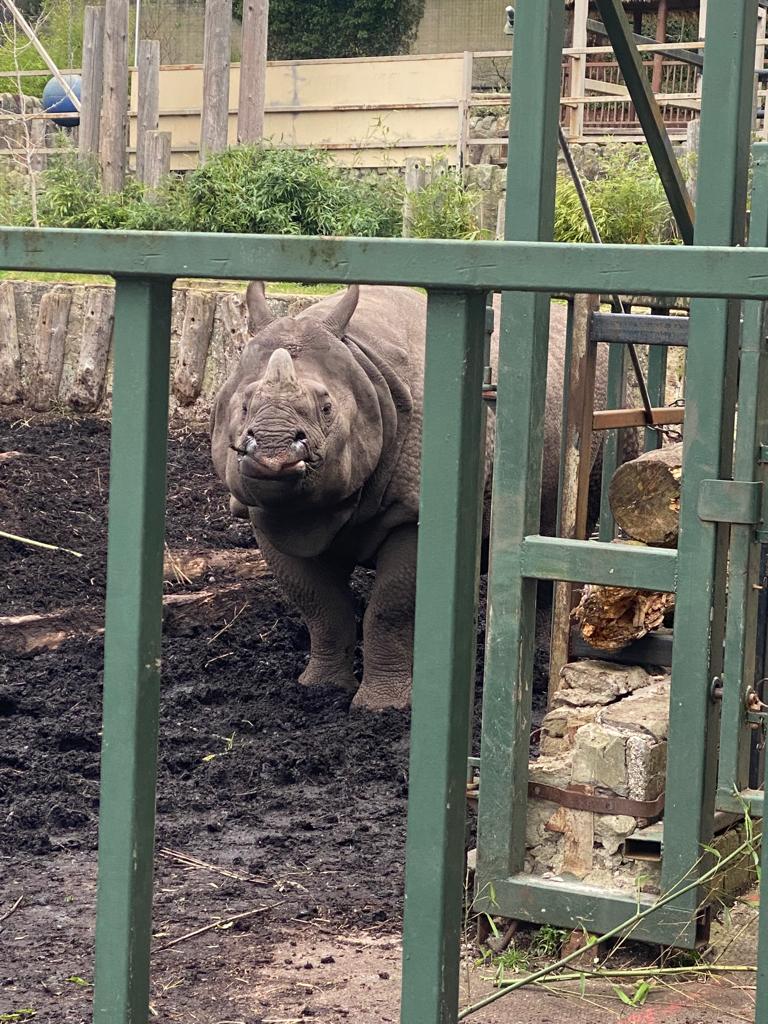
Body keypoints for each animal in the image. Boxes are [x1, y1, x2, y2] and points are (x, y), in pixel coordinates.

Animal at [211, 283, 607, 710]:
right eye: (243, 405)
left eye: (327, 407)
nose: (274, 451)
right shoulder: (264, 511)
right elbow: (319, 604)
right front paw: (320, 690)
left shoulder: (412, 512)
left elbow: (390, 608)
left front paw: (380, 708)